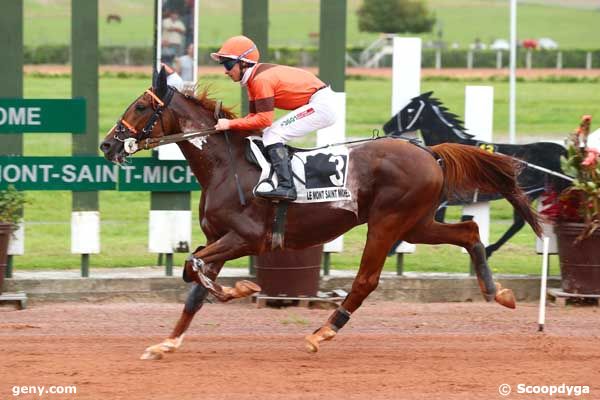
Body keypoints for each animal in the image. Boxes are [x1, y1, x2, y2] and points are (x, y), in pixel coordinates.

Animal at [101, 69, 540, 360]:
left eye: (141, 106)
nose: (108, 144)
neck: (226, 166)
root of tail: (429, 153)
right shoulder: (219, 239)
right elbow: (194, 285)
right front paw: (167, 342)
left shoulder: (246, 238)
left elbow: (193, 268)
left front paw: (242, 288)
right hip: (416, 223)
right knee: (469, 230)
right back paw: (497, 292)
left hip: (388, 222)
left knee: (366, 280)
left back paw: (323, 332)